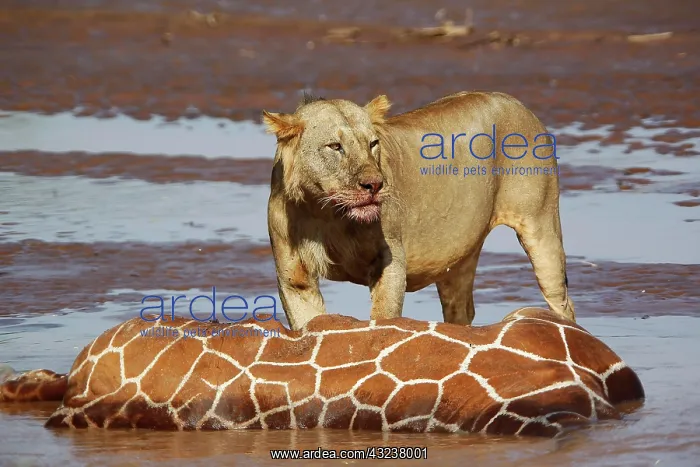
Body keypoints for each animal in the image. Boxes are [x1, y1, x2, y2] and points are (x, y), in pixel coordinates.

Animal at [262, 91, 574, 330]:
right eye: (335, 146)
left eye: (372, 143)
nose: (375, 185)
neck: (326, 213)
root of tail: (517, 102)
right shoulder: (294, 278)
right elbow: (307, 326)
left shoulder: (390, 261)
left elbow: (383, 318)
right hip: (459, 259)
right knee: (461, 310)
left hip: (541, 227)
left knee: (562, 300)